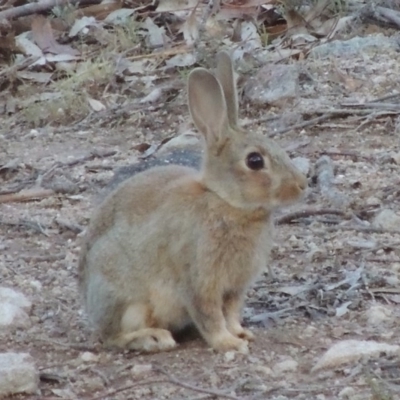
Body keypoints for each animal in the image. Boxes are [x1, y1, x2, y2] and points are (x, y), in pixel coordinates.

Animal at [79, 50, 310, 354]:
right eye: (254, 160)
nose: (302, 185)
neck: (224, 201)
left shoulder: (234, 288)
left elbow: (231, 312)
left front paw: (241, 333)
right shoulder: (199, 281)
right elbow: (210, 316)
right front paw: (228, 343)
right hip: (127, 300)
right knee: (113, 337)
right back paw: (154, 338)